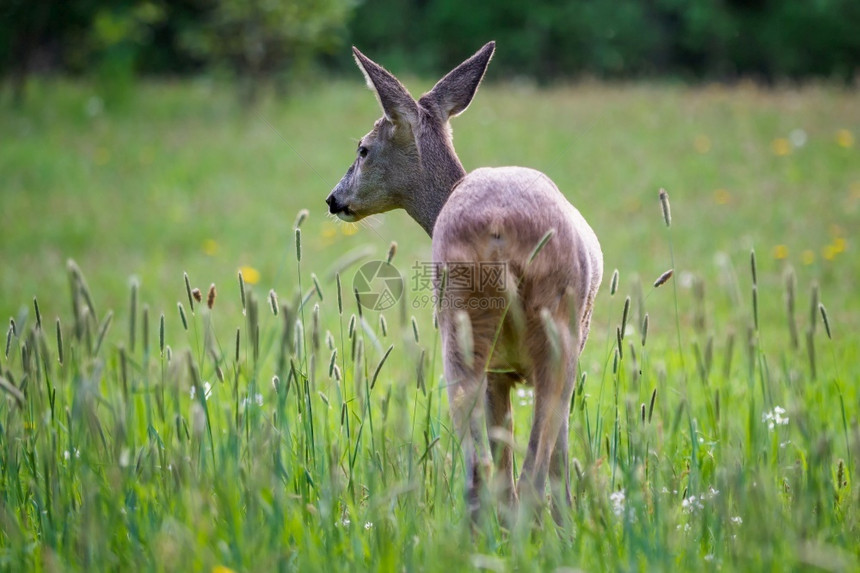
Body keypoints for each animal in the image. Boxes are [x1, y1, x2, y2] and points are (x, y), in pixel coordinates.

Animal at [324, 42, 604, 520]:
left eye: (362, 148)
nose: (333, 199)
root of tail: (499, 226)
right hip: (544, 339)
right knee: (523, 473)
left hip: (468, 328)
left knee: (486, 470)